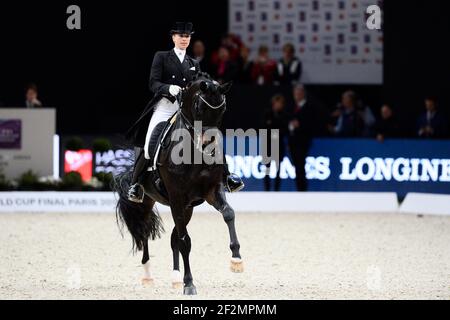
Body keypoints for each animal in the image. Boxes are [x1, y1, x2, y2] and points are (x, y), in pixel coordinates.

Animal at [114, 73, 244, 296]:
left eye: (223, 109)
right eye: (199, 108)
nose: (209, 146)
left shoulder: (212, 190)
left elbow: (228, 213)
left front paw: (236, 259)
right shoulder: (176, 196)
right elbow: (185, 241)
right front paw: (189, 284)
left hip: (187, 207)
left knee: (173, 236)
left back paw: (175, 278)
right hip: (148, 203)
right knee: (144, 231)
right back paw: (148, 276)